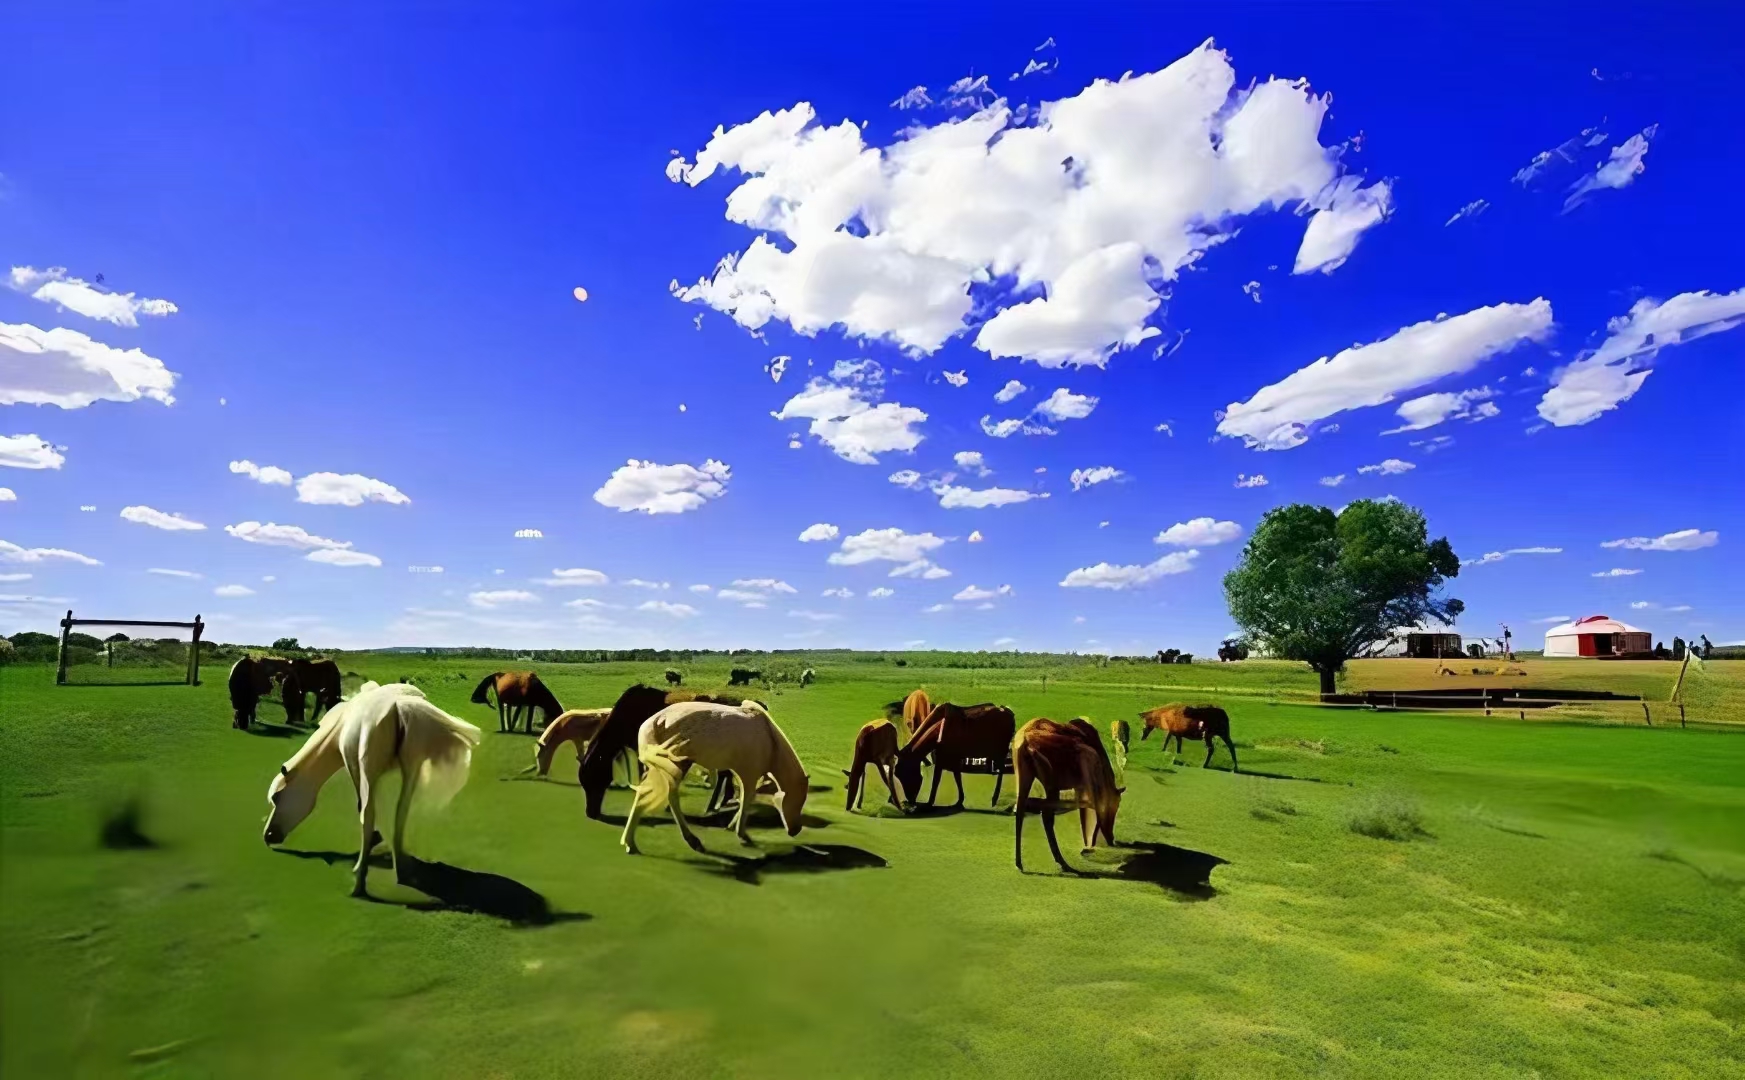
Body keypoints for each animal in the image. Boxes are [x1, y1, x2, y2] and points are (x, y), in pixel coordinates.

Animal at [258, 683, 481, 893]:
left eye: (277, 797)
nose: (268, 836)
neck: (339, 726)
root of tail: (399, 708)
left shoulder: (357, 769)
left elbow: (363, 808)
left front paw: (375, 841)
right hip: (411, 767)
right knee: (401, 813)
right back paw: (401, 869)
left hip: (369, 769)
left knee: (368, 814)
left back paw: (359, 879)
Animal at [621, 704, 809, 858]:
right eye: (798, 800)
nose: (796, 830)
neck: (770, 742)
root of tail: (656, 721)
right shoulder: (748, 775)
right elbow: (746, 799)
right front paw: (742, 834)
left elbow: (745, 798)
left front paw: (732, 825)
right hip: (677, 764)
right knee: (668, 797)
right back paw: (691, 841)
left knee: (645, 795)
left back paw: (631, 843)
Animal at [1019, 718, 1123, 879]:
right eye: (1116, 806)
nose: (1111, 839)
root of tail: (1028, 745)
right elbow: (1091, 809)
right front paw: (1088, 845)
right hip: (1056, 779)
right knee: (1046, 811)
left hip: (1026, 774)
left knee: (1022, 810)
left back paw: (1021, 863)